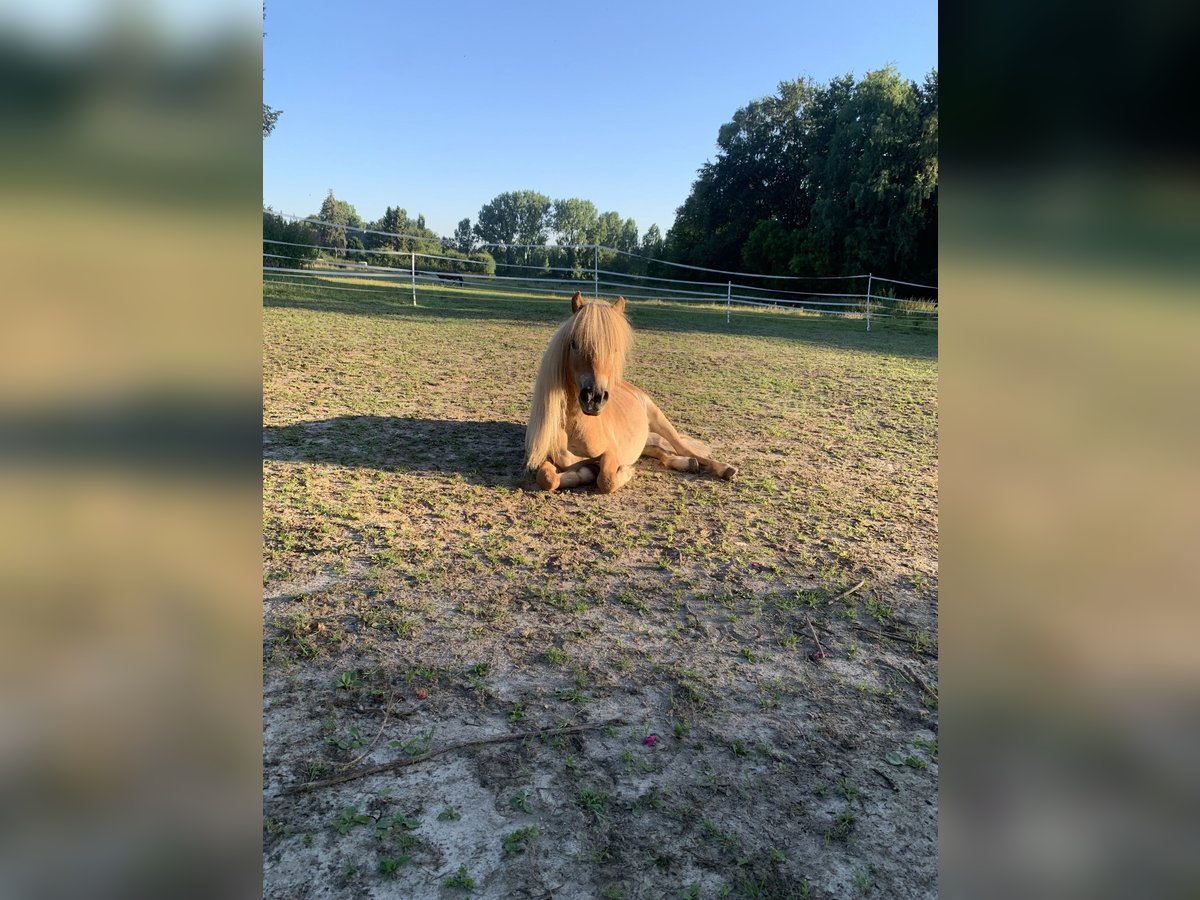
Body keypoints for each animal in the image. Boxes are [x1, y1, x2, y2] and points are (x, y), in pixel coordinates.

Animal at [528, 292, 739, 494]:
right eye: (574, 343)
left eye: (614, 348)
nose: (594, 398)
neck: (577, 429)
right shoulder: (546, 457)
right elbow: (547, 478)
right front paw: (586, 472)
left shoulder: (612, 453)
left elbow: (606, 479)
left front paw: (625, 471)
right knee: (655, 449)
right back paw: (686, 463)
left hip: (659, 420)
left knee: (683, 448)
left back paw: (724, 468)